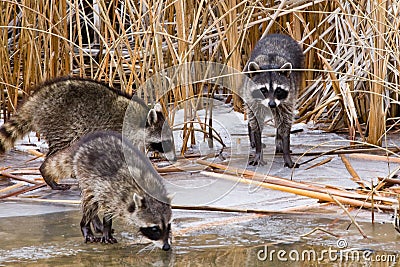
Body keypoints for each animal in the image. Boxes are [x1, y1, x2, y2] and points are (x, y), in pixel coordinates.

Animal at [0, 76, 175, 192]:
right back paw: (47, 172)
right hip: (61, 124)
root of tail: (38, 98)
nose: (174, 158)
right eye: (165, 142)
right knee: (59, 151)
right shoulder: (119, 131)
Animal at [242, 33, 304, 168]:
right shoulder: (252, 97)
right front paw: (258, 150)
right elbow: (256, 122)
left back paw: (278, 140)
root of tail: (278, 34)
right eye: (263, 90)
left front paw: (286, 151)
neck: (270, 65)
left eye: (278, 90)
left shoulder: (288, 99)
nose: (271, 104)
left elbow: (285, 123)